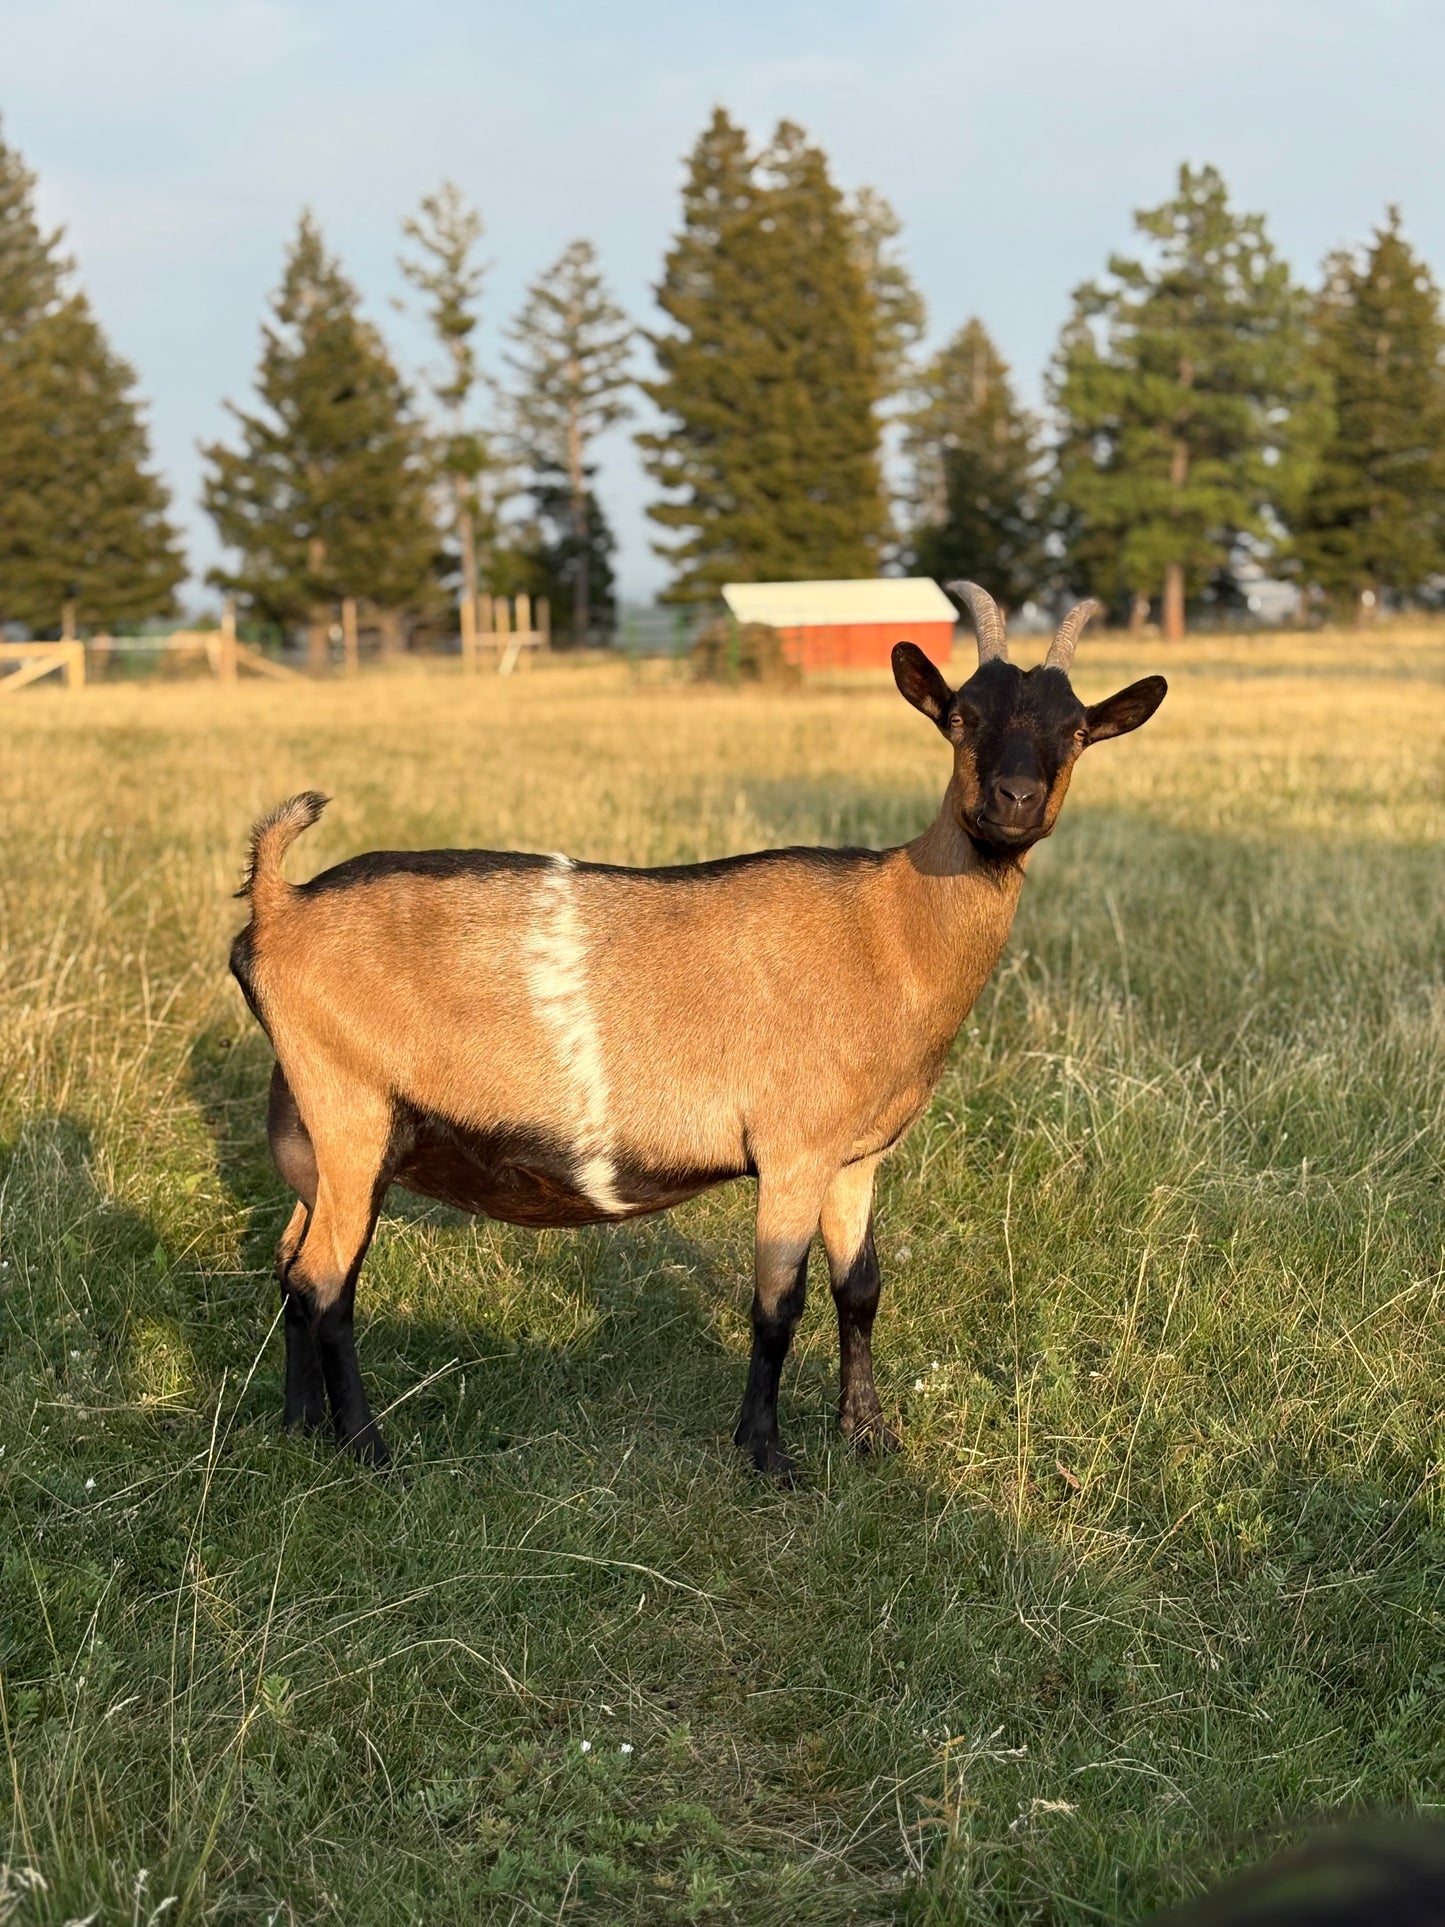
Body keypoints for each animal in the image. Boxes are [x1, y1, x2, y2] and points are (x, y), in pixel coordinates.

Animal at [230, 583, 1166, 1475]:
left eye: (1077, 731)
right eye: (962, 715)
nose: (1014, 800)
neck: (889, 926)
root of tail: (280, 906)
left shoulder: (857, 1156)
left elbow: (859, 1287)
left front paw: (867, 1435)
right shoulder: (793, 1149)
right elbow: (778, 1303)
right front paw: (766, 1453)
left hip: (316, 1132)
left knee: (290, 1263)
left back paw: (296, 1424)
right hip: (352, 1107)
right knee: (327, 1281)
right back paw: (367, 1447)